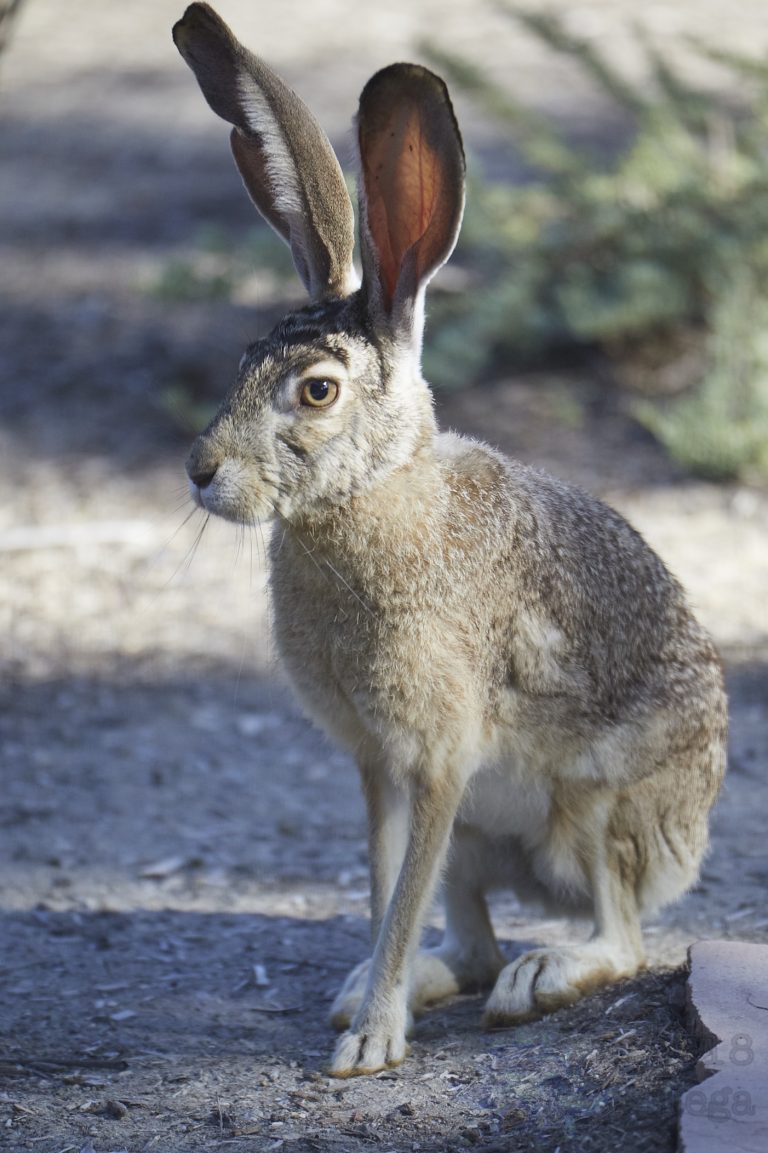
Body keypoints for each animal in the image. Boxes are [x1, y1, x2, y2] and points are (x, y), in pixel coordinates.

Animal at [173, 3, 727, 1078]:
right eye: (244, 358)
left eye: (316, 390)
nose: (201, 470)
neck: (370, 496)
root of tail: (692, 836)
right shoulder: (379, 766)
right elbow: (385, 883)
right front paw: (368, 1007)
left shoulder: (440, 754)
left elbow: (400, 891)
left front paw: (368, 1045)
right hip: (482, 835)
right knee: (471, 942)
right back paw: (406, 982)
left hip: (596, 808)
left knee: (621, 935)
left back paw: (542, 975)